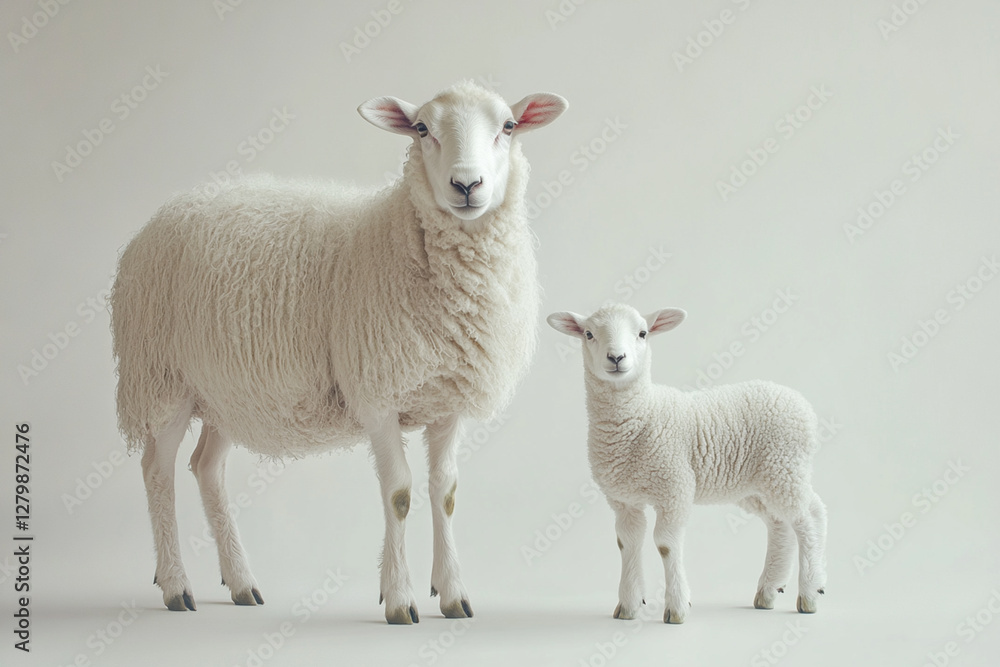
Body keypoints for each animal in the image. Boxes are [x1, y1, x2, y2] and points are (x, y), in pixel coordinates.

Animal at [110, 81, 567, 624]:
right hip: (164, 379)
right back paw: (176, 586)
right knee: (157, 472)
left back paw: (240, 582)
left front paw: (453, 593)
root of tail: (165, 212)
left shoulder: (448, 399)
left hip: (226, 393)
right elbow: (399, 493)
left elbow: (446, 492)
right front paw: (399, 599)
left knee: (206, 469)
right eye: (422, 129)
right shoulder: (377, 394)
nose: (466, 184)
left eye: (509, 127)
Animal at [547, 303, 827, 623]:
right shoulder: (623, 499)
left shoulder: (675, 487)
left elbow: (666, 544)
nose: (616, 358)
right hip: (760, 484)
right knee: (782, 523)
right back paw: (768, 591)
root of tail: (800, 403)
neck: (641, 416)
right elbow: (627, 542)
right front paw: (628, 606)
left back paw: (810, 592)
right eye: (589, 334)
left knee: (809, 518)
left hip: (785, 469)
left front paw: (677, 607)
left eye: (642, 333)